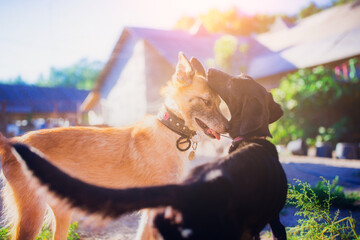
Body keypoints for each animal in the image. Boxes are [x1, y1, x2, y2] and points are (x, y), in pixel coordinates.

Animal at [10, 68, 286, 239]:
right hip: (32, 217)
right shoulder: (153, 209)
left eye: (221, 102)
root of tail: (15, 139)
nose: (229, 128)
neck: (170, 131)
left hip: (62, 215)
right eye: (207, 102)